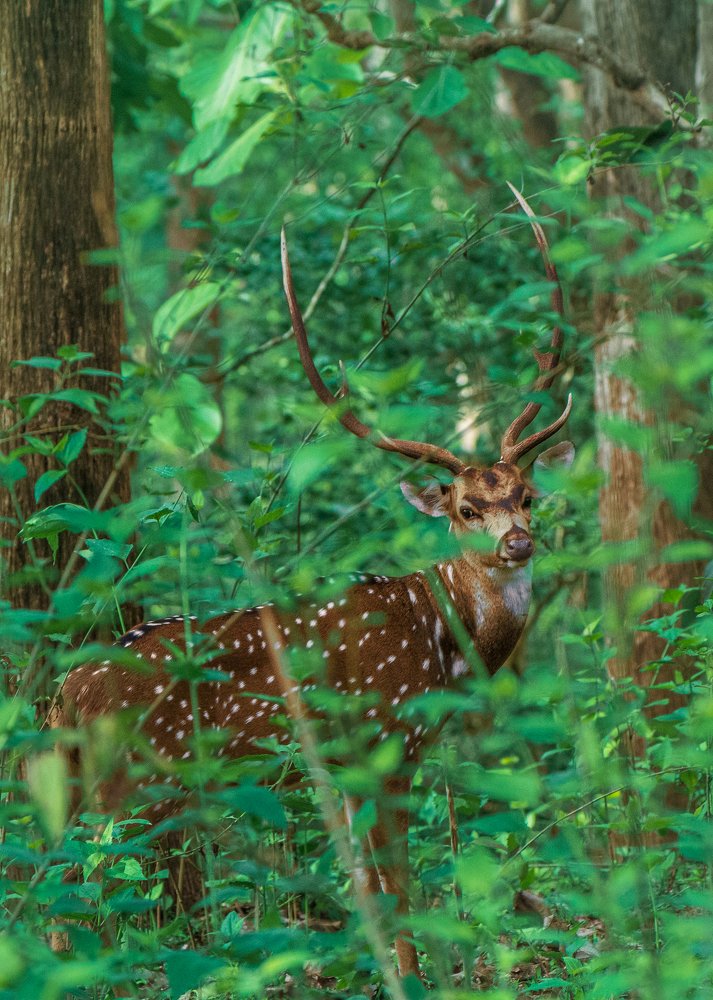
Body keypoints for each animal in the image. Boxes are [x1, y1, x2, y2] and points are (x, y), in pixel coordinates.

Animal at [57, 188, 574, 981]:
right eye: (465, 508)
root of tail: (65, 692)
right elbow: (400, 885)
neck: (442, 641)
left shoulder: (344, 766)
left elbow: (365, 886)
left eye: (525, 495)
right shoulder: (386, 740)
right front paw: (414, 977)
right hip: (128, 774)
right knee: (78, 880)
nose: (516, 542)